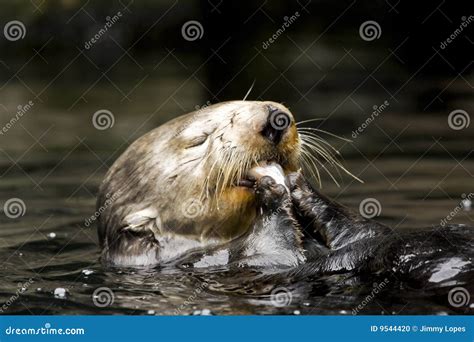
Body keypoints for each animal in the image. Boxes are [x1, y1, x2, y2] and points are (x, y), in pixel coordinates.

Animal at [97, 102, 474, 288]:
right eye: (198, 140)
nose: (276, 119)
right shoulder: (238, 264)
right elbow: (274, 253)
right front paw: (273, 192)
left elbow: (364, 228)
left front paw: (299, 185)